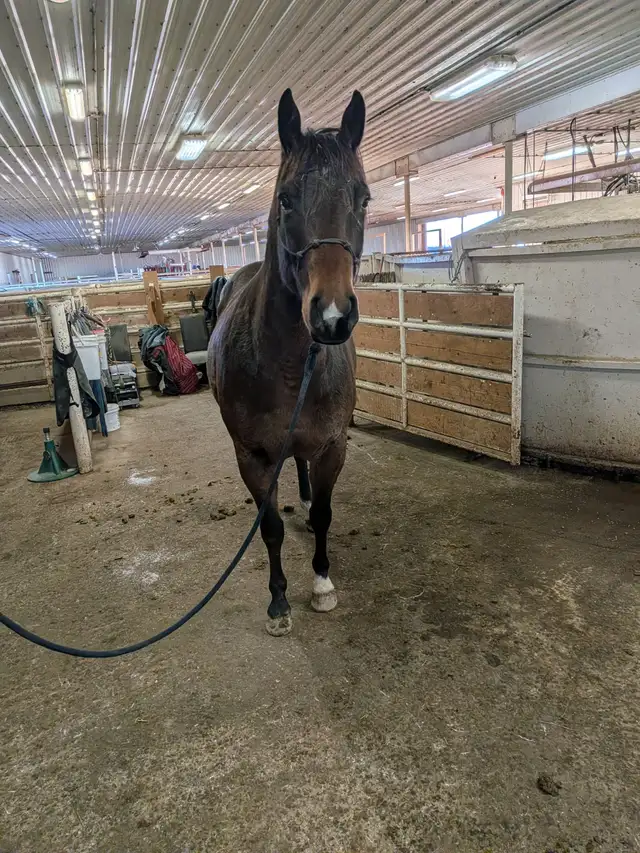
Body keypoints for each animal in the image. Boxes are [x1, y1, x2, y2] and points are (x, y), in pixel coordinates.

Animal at [207, 88, 369, 636]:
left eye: (364, 197)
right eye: (286, 199)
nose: (333, 315)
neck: (289, 365)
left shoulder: (332, 446)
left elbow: (323, 516)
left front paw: (321, 584)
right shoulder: (254, 457)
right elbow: (271, 527)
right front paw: (278, 601)